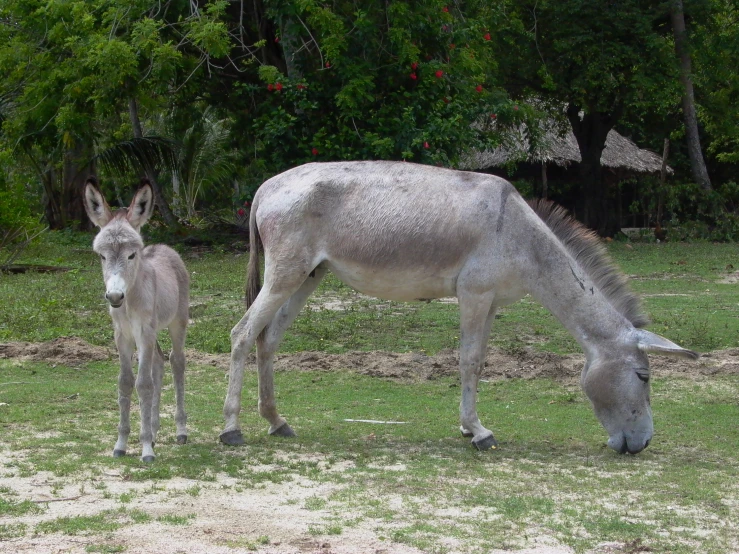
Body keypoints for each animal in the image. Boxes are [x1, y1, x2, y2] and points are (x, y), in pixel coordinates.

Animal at [84, 178, 189, 462]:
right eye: (102, 256)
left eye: (131, 255)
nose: (114, 296)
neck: (129, 300)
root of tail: (164, 248)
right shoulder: (122, 335)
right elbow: (125, 382)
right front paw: (121, 444)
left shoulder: (144, 332)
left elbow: (143, 384)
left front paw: (146, 450)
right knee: (159, 363)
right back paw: (153, 430)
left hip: (177, 323)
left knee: (176, 363)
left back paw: (180, 430)